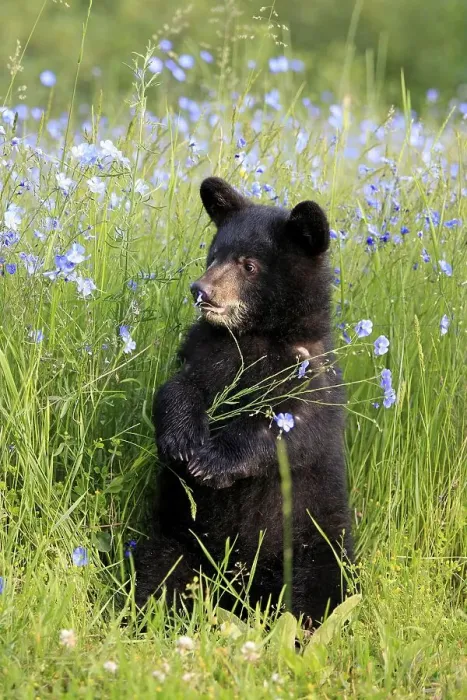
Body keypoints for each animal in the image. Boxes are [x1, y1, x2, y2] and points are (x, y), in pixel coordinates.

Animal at [135, 177, 353, 625]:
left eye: (249, 265)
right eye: (215, 253)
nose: (201, 290)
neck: (256, 337)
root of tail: (238, 593)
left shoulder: (311, 378)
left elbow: (288, 430)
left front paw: (212, 460)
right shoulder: (208, 353)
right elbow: (178, 389)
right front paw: (183, 440)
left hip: (314, 543)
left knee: (320, 593)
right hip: (178, 539)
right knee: (159, 573)